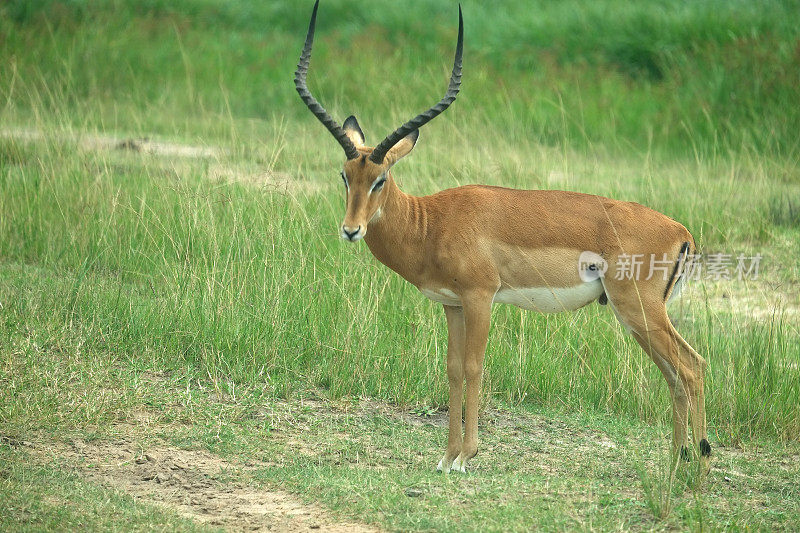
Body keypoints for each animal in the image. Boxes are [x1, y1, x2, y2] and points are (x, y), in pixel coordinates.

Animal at [296, 1, 708, 474]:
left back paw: (699, 466)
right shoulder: (452, 305)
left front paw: (466, 456)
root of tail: (681, 231)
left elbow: (475, 366)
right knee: (676, 373)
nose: (351, 230)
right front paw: (446, 457)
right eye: (344, 175)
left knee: (691, 367)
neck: (432, 222)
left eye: (380, 179)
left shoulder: (480, 297)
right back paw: (675, 464)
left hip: (638, 310)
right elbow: (453, 368)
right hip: (640, 316)